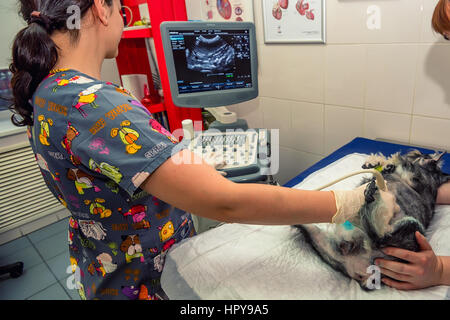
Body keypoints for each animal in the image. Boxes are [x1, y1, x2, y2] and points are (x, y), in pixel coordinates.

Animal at [296, 150, 450, 290]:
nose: (415, 153)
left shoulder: (416, 179)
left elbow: (405, 167)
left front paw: (390, 162)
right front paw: (376, 162)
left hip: (412, 226)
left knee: (379, 237)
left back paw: (371, 197)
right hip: (326, 246)